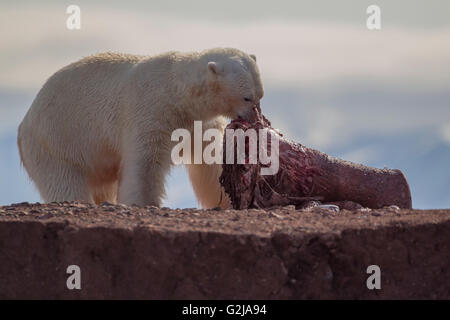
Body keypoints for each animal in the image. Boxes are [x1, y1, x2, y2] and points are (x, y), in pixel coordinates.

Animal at [17, 47, 264, 208]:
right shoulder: (148, 111)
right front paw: (146, 203)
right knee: (65, 181)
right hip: (56, 142)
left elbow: (210, 161)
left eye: (260, 95)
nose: (256, 118)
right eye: (246, 97)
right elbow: (145, 164)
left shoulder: (199, 123)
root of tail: (25, 122)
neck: (177, 94)